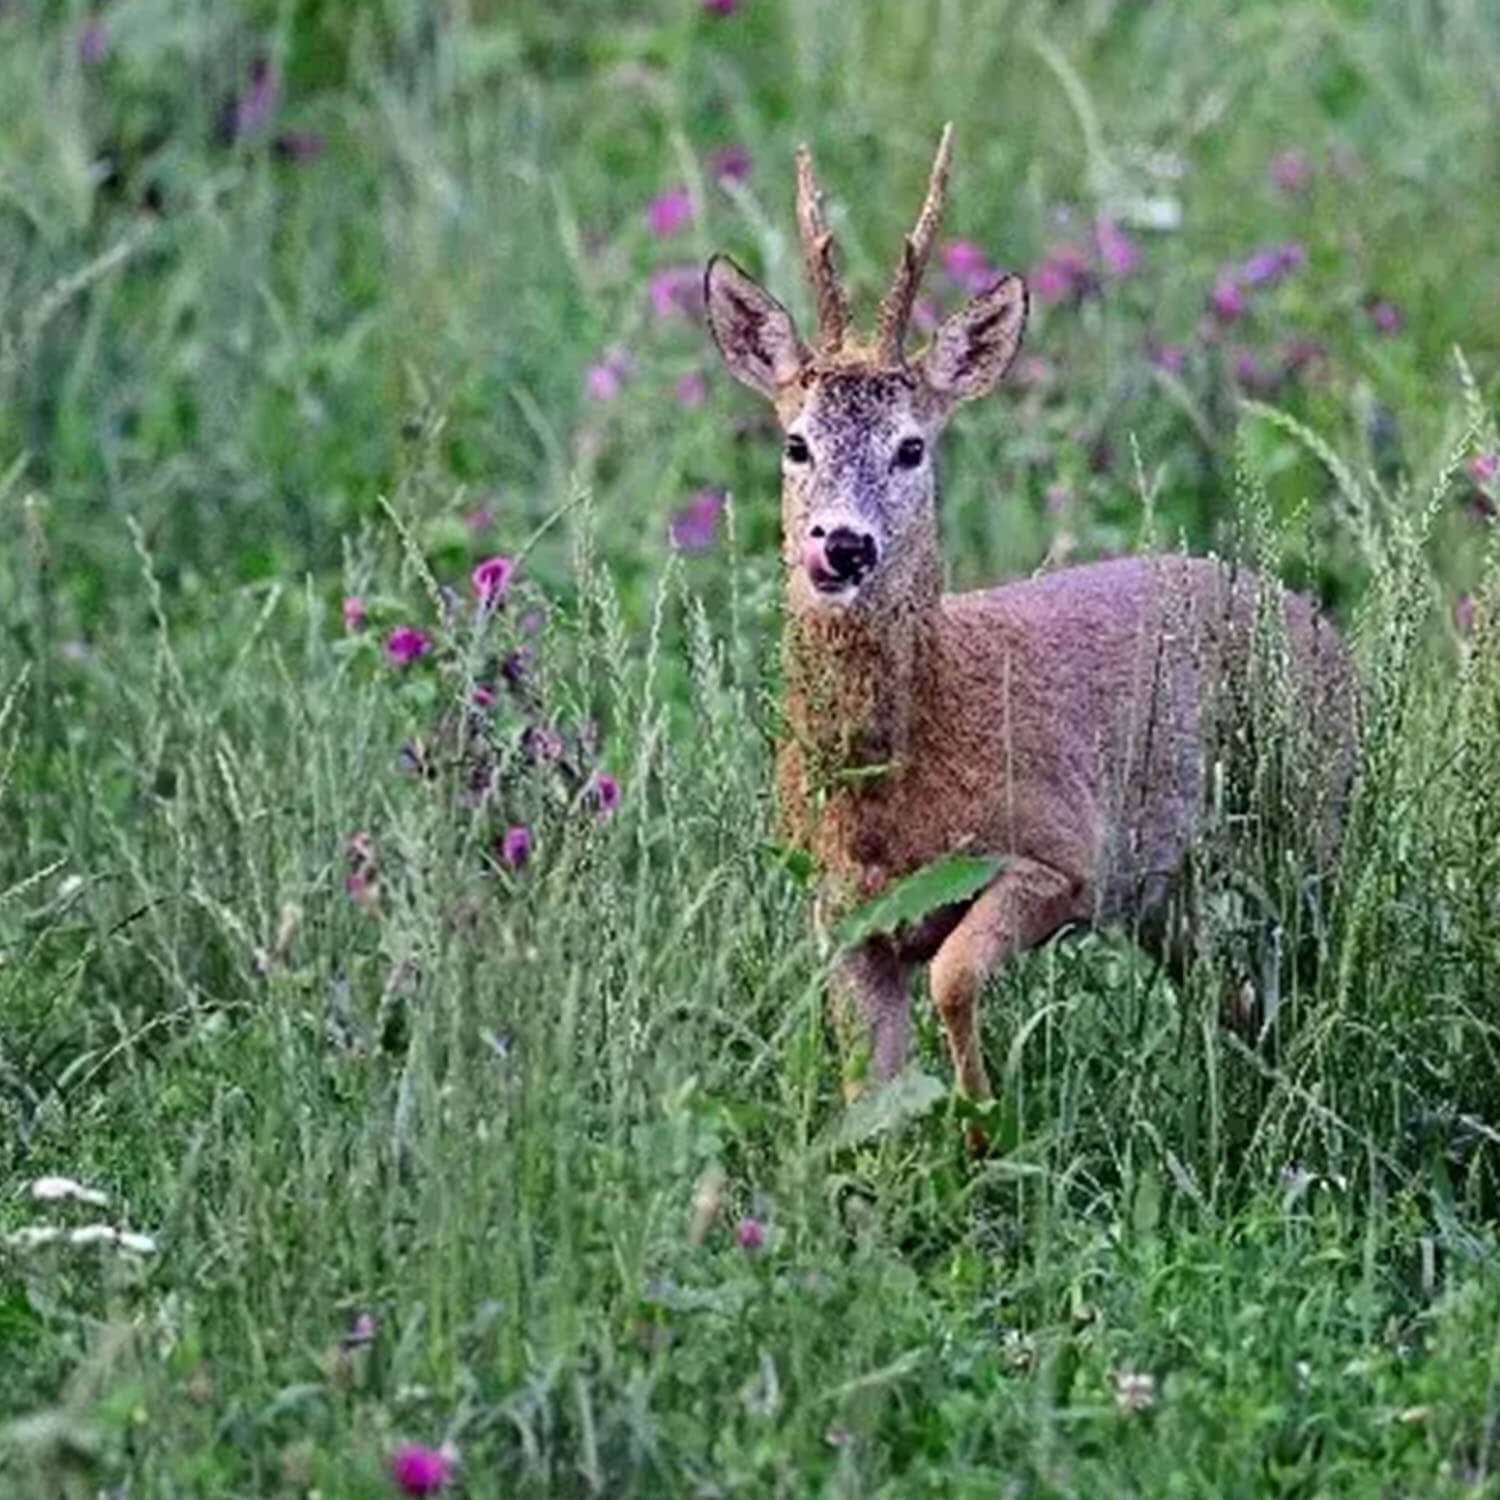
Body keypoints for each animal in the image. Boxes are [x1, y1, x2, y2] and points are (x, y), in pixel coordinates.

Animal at [702, 123, 1362, 1122]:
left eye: (912, 446)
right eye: (795, 442)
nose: (842, 545)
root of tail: (1323, 629)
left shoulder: (1064, 857)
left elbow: (954, 978)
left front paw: (986, 1126)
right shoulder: (843, 916)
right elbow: (871, 1094)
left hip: (1311, 820)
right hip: (1170, 893)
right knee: (1238, 997)